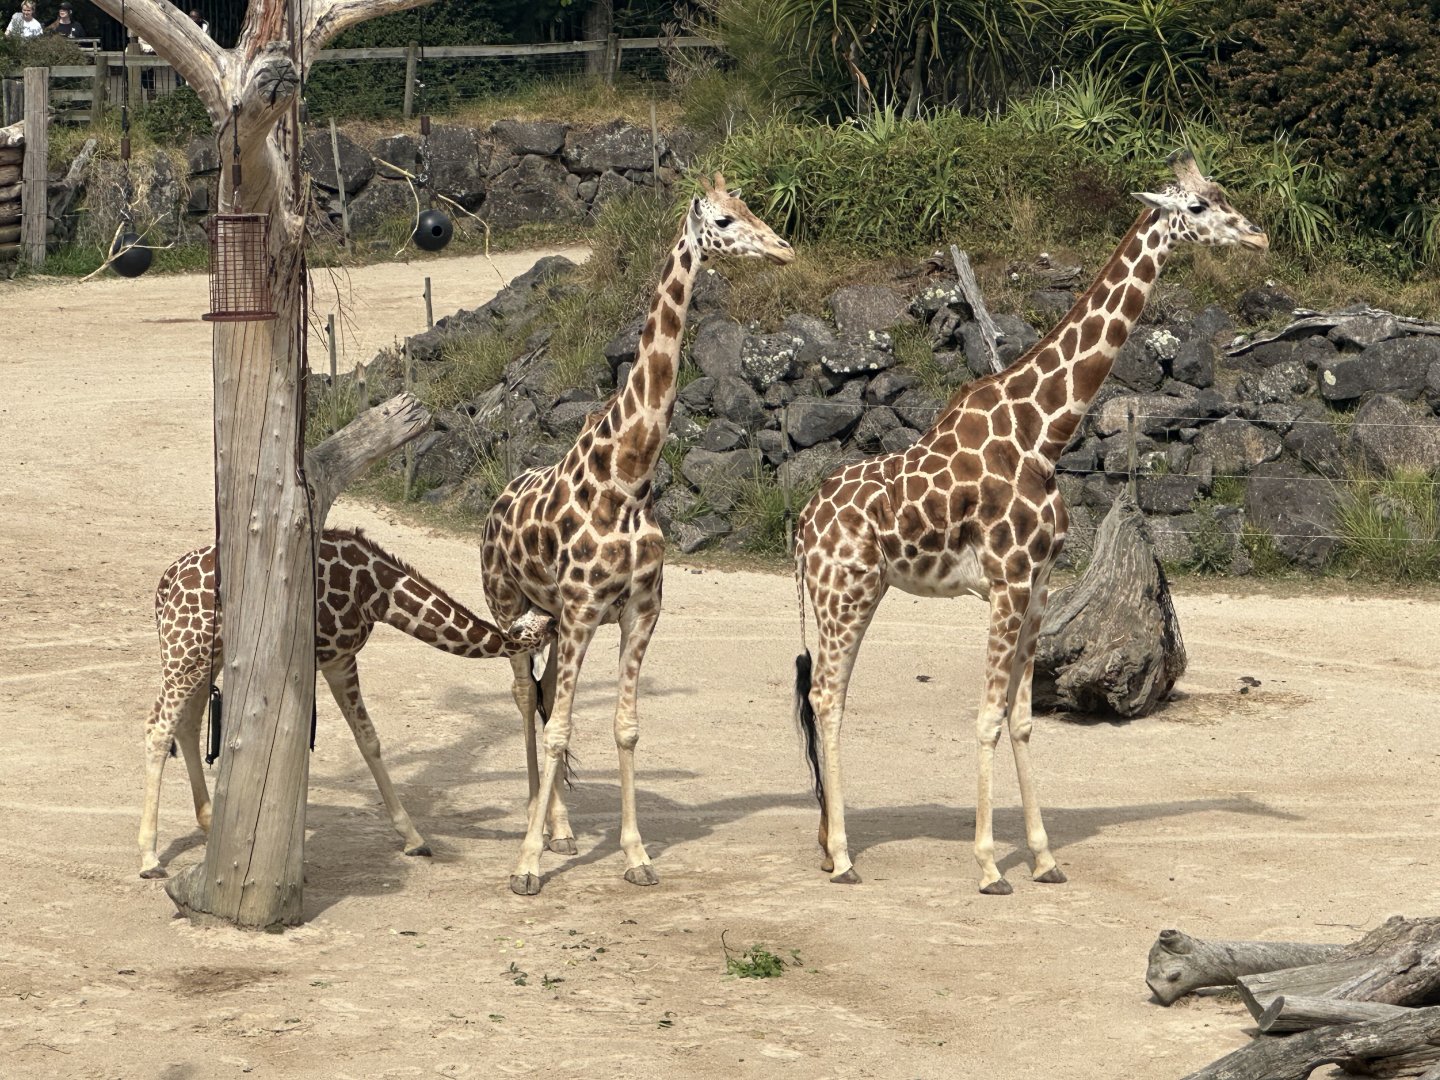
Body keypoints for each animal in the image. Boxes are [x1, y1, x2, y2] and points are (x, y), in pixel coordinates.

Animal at [138, 528, 554, 879]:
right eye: (545, 622)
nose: (553, 621)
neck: (378, 592)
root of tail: (165, 584)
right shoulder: (329, 658)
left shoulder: (338, 659)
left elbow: (368, 739)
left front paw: (413, 838)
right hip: (186, 651)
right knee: (158, 727)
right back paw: (149, 857)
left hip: (208, 654)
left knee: (187, 722)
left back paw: (209, 821)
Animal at [482, 173, 794, 895]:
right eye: (721, 220)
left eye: (751, 206)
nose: (784, 250)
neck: (629, 475)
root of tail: (494, 506)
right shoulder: (579, 609)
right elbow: (561, 729)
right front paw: (526, 866)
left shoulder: (638, 610)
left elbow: (624, 727)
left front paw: (635, 856)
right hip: (512, 610)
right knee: (526, 699)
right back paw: (535, 830)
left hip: (554, 621)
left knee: (546, 699)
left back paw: (562, 830)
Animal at [793, 151, 1267, 892]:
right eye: (1196, 208)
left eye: (1222, 195)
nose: (1257, 236)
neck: (1043, 430)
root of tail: (803, 522)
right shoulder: (1009, 580)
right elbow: (988, 715)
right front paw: (990, 864)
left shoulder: (1039, 586)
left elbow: (1020, 720)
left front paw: (1044, 857)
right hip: (846, 590)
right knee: (826, 698)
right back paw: (842, 857)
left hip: (850, 593)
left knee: (827, 697)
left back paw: (826, 845)